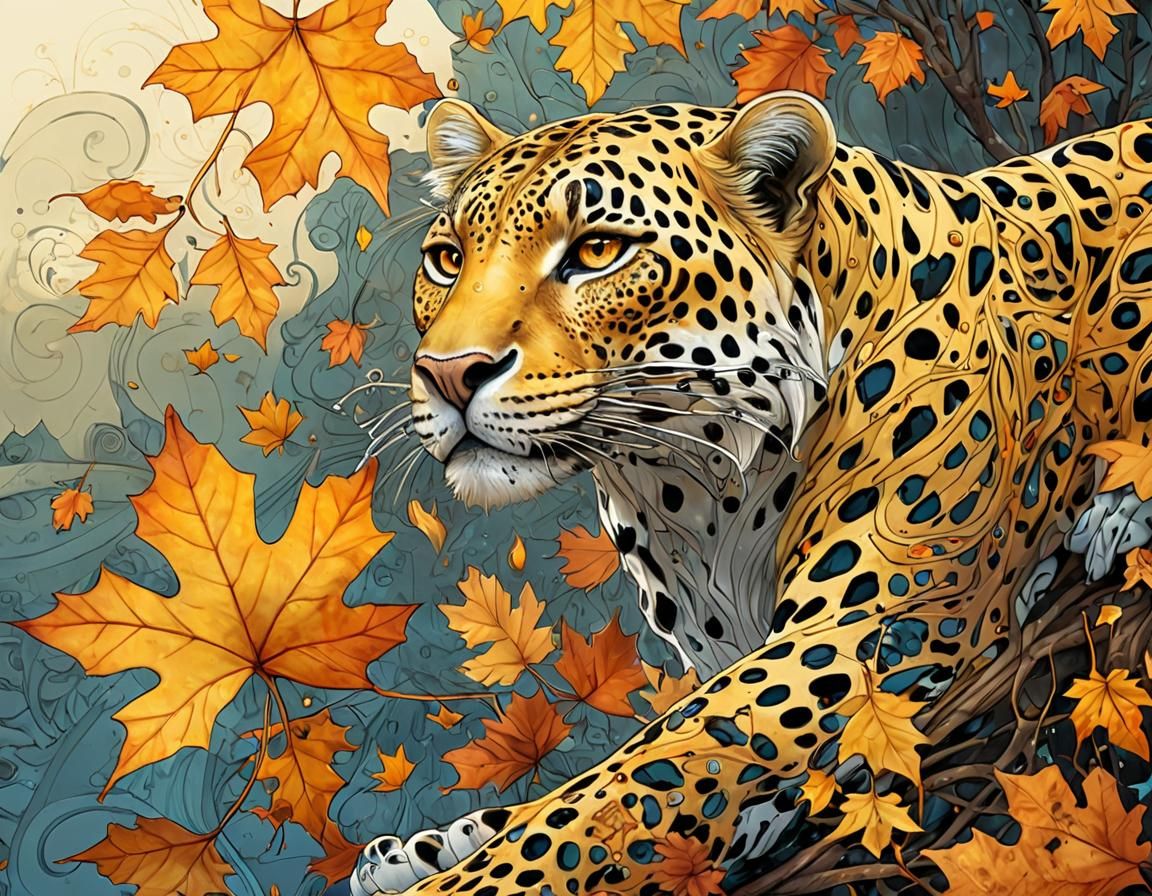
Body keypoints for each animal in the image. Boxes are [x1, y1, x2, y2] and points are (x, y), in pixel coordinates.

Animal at [347, 91, 1152, 895]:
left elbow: (618, 793)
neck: (692, 488)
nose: (448, 373)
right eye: (448, 260)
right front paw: (427, 848)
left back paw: (1117, 516)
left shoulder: (856, 635)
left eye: (598, 252)